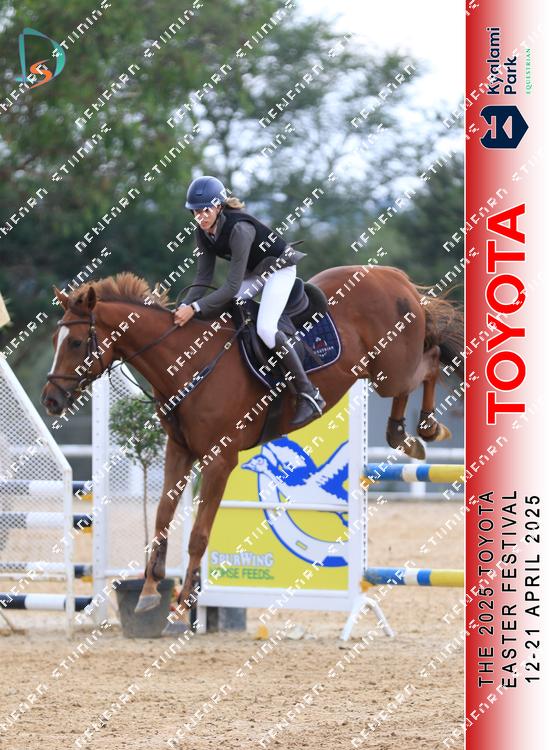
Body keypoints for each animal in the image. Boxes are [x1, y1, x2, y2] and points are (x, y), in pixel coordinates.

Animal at [41, 267, 463, 619]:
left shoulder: (219, 459)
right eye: (54, 339)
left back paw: (425, 429)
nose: (51, 400)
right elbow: (161, 517)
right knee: (423, 369)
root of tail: (393, 276)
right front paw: (148, 591)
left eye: (75, 342)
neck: (186, 363)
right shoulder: (179, 452)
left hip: (391, 368)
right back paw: (401, 433)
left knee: (430, 360)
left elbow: (199, 535)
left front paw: (183, 602)